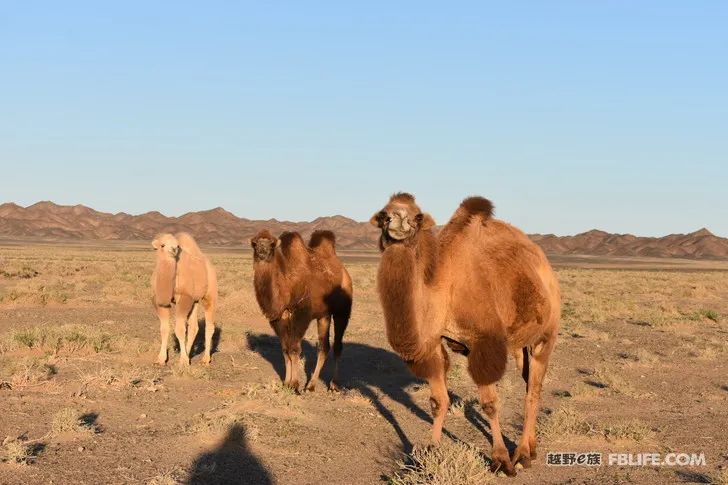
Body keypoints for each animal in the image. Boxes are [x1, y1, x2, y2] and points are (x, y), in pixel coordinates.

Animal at [151, 233, 218, 364]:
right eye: (162, 245)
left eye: (177, 245)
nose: (173, 249)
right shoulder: (160, 302)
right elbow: (164, 329)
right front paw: (161, 359)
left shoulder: (184, 298)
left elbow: (180, 330)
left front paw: (183, 361)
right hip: (195, 300)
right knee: (194, 327)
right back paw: (188, 353)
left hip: (210, 293)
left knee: (209, 326)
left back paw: (205, 359)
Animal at [250, 229, 352, 392]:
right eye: (255, 243)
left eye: (272, 244)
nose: (262, 251)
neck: (287, 285)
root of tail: (344, 271)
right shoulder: (281, 316)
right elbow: (285, 349)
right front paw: (286, 383)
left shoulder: (301, 314)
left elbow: (294, 349)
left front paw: (295, 385)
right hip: (324, 315)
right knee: (323, 347)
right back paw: (311, 385)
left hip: (342, 311)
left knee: (337, 345)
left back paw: (334, 384)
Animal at [372, 193, 560, 476]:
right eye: (384, 214)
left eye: (417, 216)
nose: (396, 221)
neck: (445, 288)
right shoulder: (435, 343)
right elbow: (438, 400)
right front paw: (430, 451)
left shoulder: (483, 344)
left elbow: (490, 404)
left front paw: (501, 460)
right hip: (519, 345)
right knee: (529, 381)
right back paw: (532, 448)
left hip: (546, 334)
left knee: (533, 389)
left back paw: (522, 455)